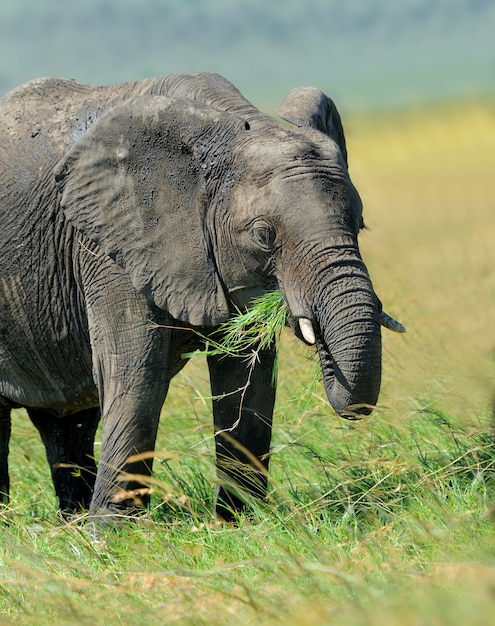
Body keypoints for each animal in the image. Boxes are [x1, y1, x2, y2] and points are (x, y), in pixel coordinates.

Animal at [0, 72, 404, 520]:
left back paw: (70, 521)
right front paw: (113, 534)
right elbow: (136, 377)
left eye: (360, 223)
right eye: (263, 235)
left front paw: (239, 522)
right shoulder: (110, 246)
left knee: (66, 421)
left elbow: (247, 380)